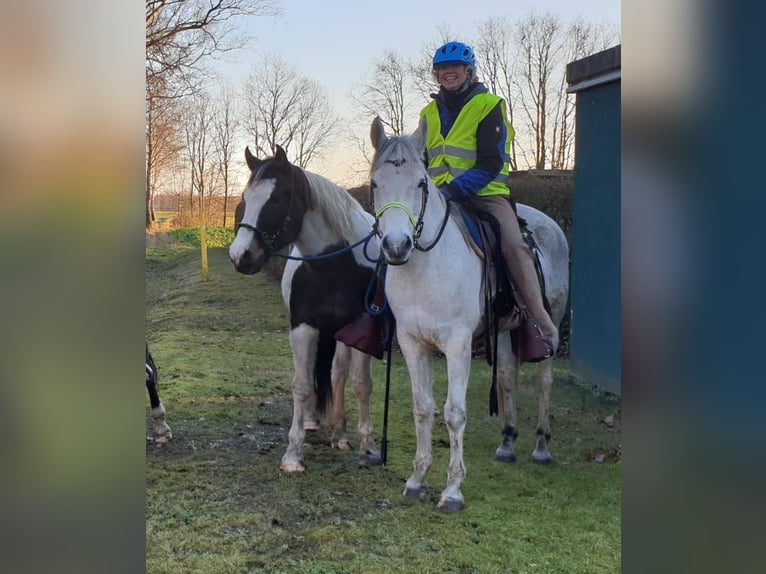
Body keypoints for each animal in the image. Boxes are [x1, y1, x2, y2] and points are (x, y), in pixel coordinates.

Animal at [230, 146, 382, 474]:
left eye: (276, 198)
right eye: (246, 198)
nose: (240, 256)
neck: (334, 264)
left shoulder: (362, 328)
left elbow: (361, 385)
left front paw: (369, 446)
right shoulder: (303, 327)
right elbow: (301, 385)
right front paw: (293, 453)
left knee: (338, 374)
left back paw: (340, 434)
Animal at [368, 118, 572, 512]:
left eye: (421, 183)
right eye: (374, 184)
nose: (397, 246)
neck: (426, 266)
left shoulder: (457, 345)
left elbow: (454, 413)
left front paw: (452, 491)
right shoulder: (412, 343)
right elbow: (422, 408)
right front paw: (416, 479)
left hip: (548, 325)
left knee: (543, 382)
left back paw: (541, 446)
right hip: (507, 330)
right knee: (507, 377)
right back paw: (507, 443)